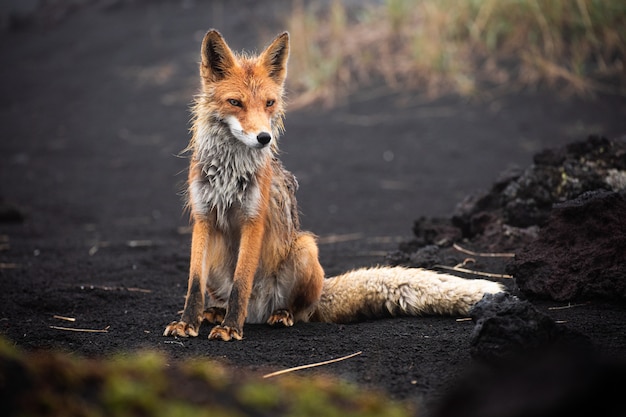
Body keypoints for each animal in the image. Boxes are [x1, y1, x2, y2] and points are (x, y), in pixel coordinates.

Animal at [162, 30, 502, 342]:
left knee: (299, 310)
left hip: (304, 249)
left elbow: (241, 283)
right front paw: (187, 323)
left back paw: (278, 315)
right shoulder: (203, 217)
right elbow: (193, 284)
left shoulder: (252, 220)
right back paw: (214, 312)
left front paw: (231, 328)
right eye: (235, 102)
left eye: (269, 103)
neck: (229, 172)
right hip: (219, 262)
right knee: (218, 293)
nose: (264, 138)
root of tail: (257, 312)